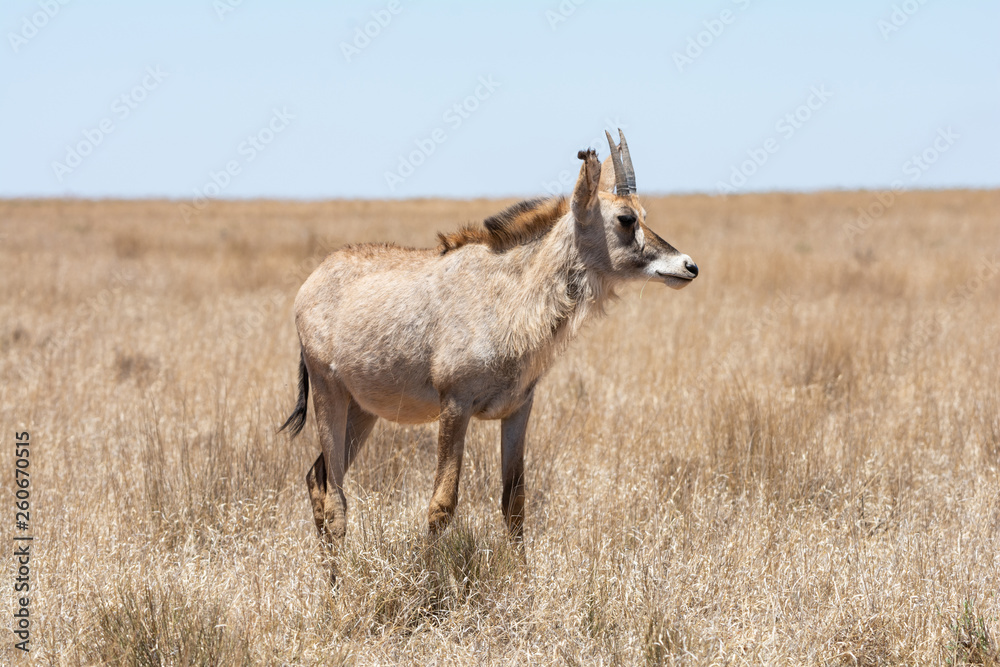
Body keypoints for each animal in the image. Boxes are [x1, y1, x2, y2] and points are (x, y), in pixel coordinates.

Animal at [280, 131, 698, 574]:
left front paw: (523, 579)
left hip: (362, 411)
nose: (688, 266)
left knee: (318, 478)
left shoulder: (518, 408)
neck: (511, 295)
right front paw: (429, 578)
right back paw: (338, 583)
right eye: (625, 219)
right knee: (335, 497)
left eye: (643, 214)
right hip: (329, 394)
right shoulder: (455, 405)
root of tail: (311, 283)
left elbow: (515, 501)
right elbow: (442, 504)